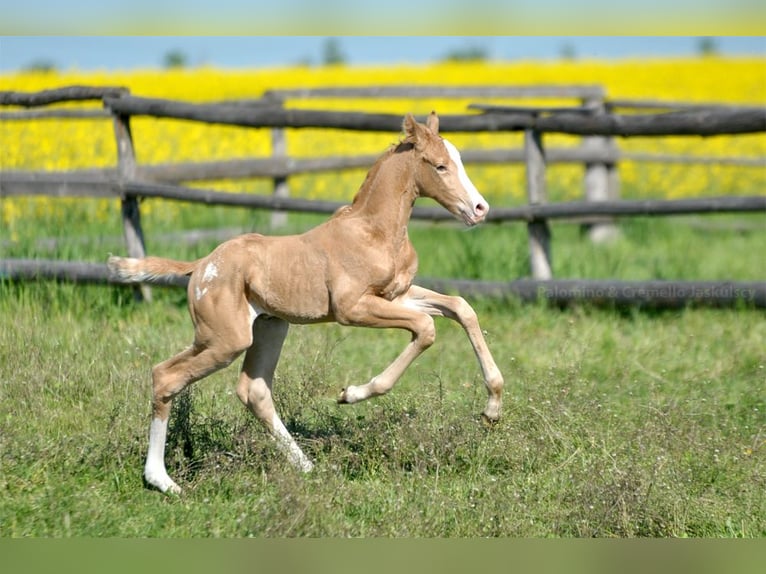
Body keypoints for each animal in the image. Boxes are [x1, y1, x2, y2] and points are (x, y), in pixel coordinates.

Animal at [108, 112, 504, 494]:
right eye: (440, 166)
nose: (480, 208)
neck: (373, 232)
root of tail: (201, 265)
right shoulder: (352, 309)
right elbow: (426, 328)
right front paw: (350, 394)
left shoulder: (398, 295)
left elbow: (461, 307)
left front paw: (492, 410)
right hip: (224, 340)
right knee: (167, 376)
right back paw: (162, 481)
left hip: (266, 328)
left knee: (252, 390)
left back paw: (307, 467)